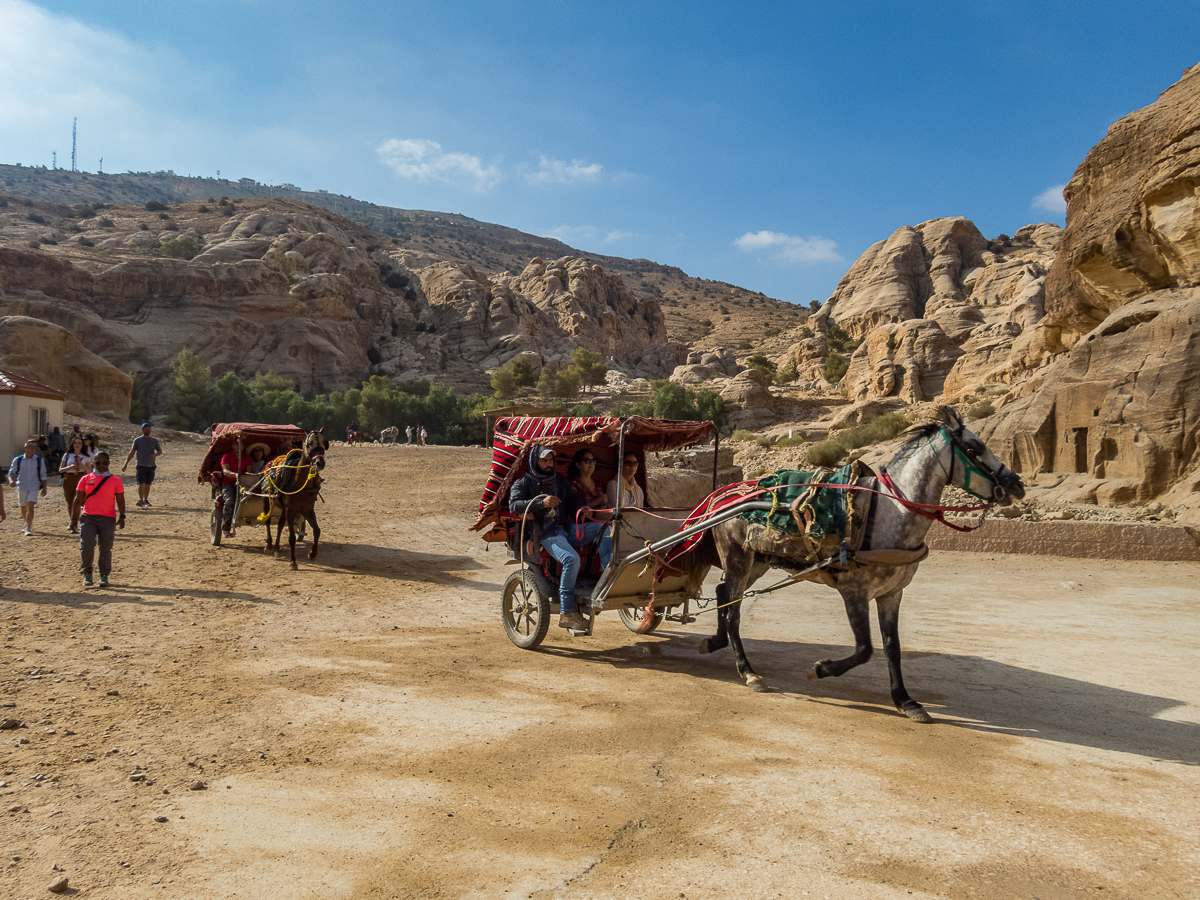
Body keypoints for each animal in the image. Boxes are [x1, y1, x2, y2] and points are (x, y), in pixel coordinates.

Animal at [696, 408, 1022, 724]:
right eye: (974, 447)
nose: (1016, 484)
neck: (891, 512)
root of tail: (722, 496)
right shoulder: (854, 592)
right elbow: (865, 649)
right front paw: (821, 669)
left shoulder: (892, 593)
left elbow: (892, 647)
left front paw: (905, 701)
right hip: (737, 558)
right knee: (733, 613)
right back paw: (748, 671)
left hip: (756, 563)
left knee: (723, 594)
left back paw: (714, 643)